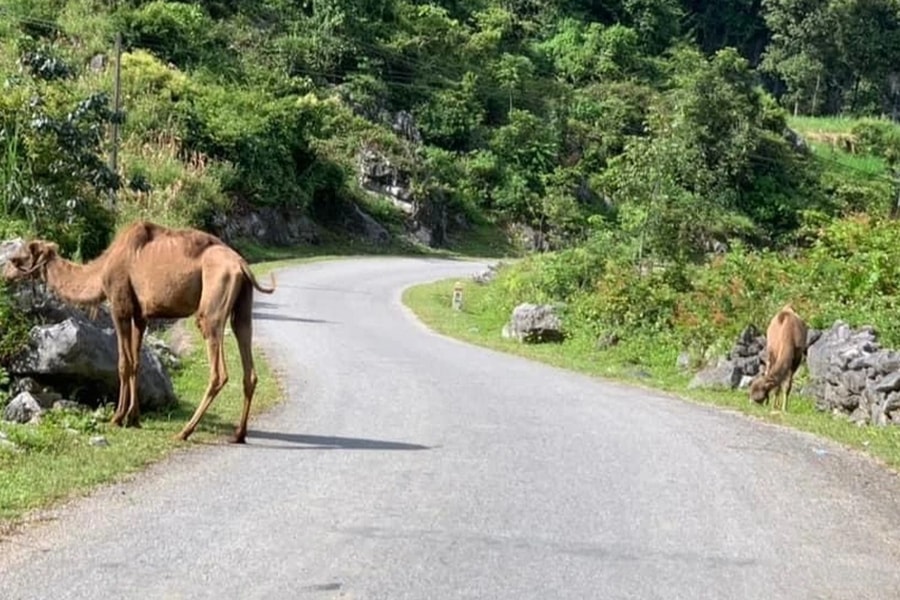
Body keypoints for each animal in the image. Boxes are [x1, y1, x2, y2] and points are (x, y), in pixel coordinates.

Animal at [1, 221, 276, 446]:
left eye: (17, 259)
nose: (4, 275)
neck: (101, 272)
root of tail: (242, 265)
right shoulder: (141, 315)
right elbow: (136, 362)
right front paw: (133, 417)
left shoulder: (120, 305)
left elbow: (123, 363)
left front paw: (117, 417)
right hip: (243, 305)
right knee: (248, 364)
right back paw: (239, 434)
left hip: (212, 306)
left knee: (218, 371)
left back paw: (184, 432)